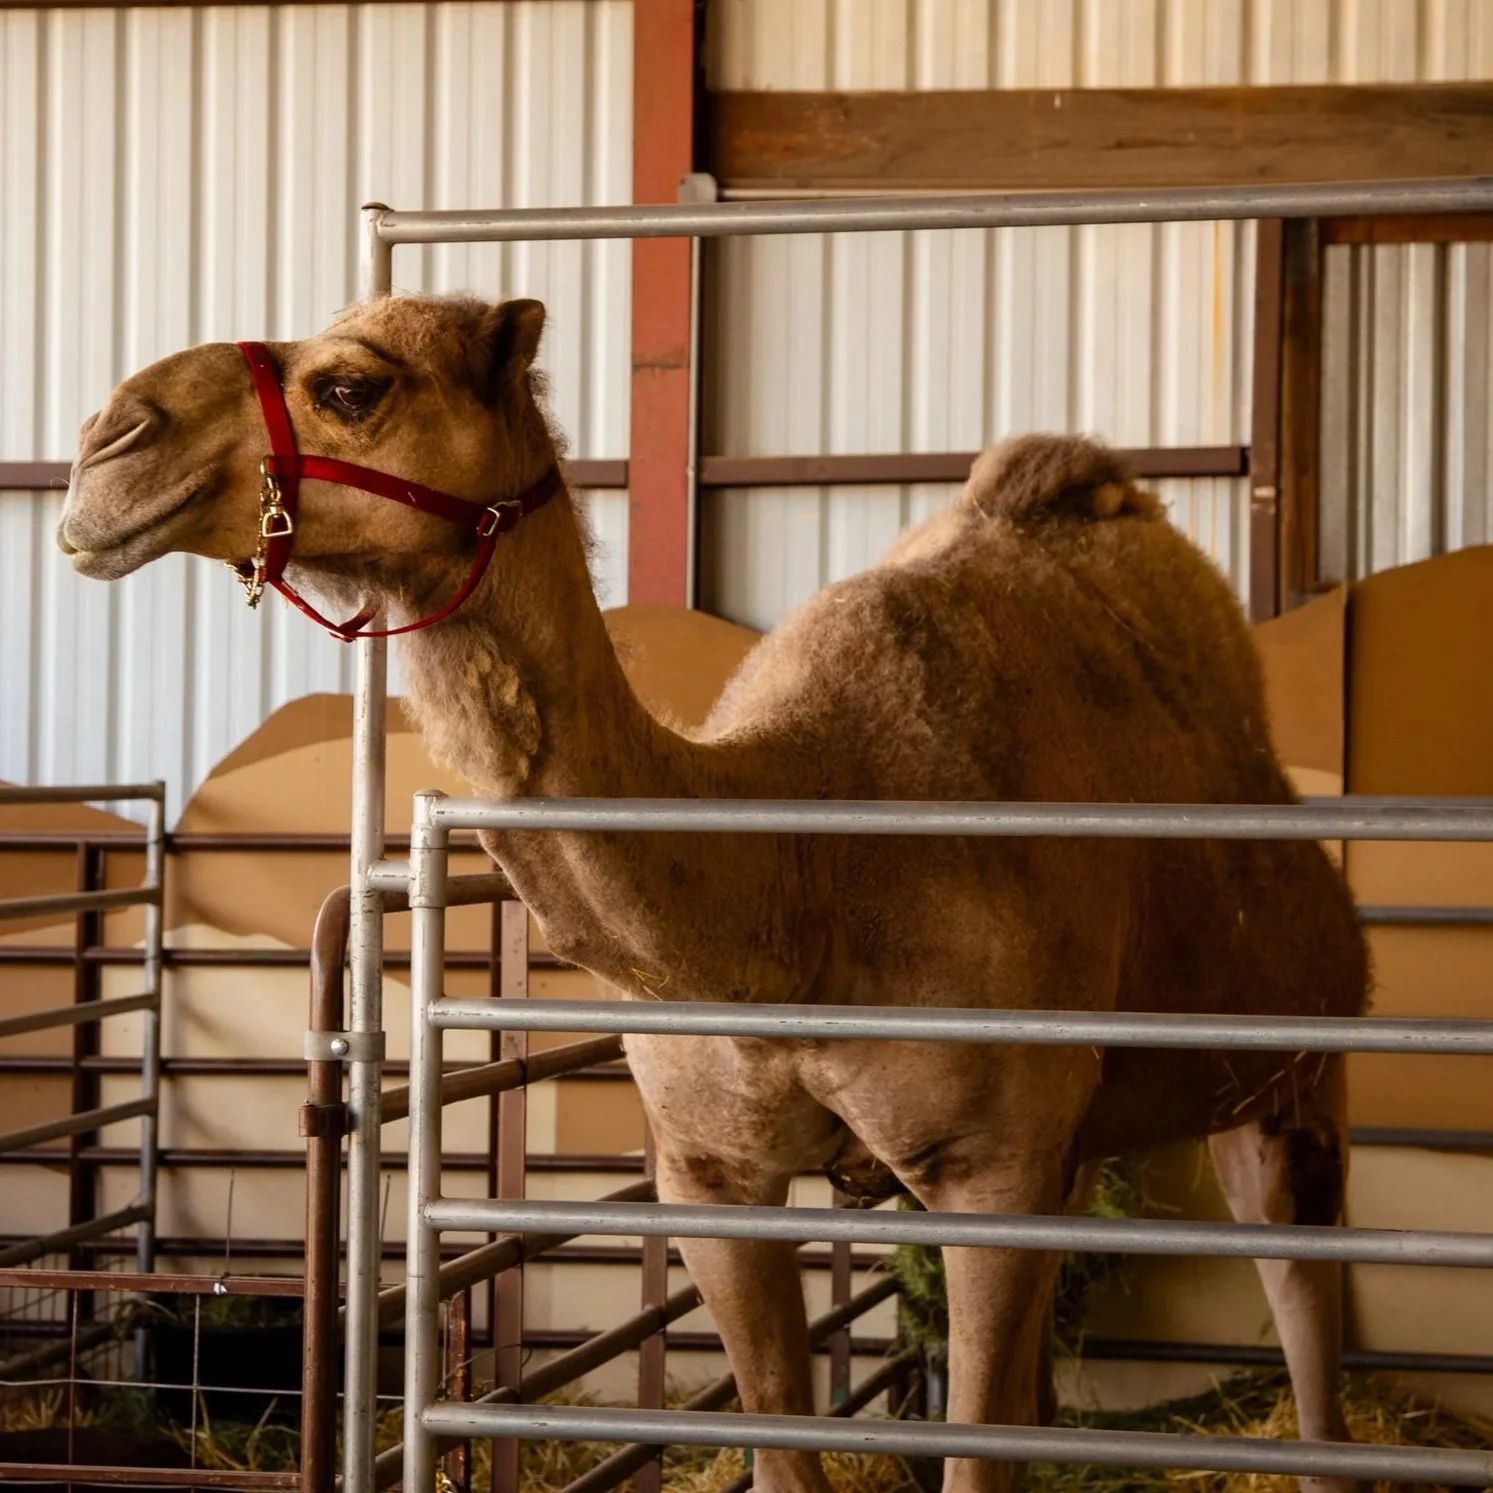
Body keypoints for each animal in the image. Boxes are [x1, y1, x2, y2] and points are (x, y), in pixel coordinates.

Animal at [59, 294, 1369, 1493]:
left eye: (350, 384)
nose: (104, 445)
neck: (802, 884)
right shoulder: (711, 1175)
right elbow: (783, 1441)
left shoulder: (991, 1164)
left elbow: (974, 1453)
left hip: (1296, 1070)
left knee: (1299, 1279)